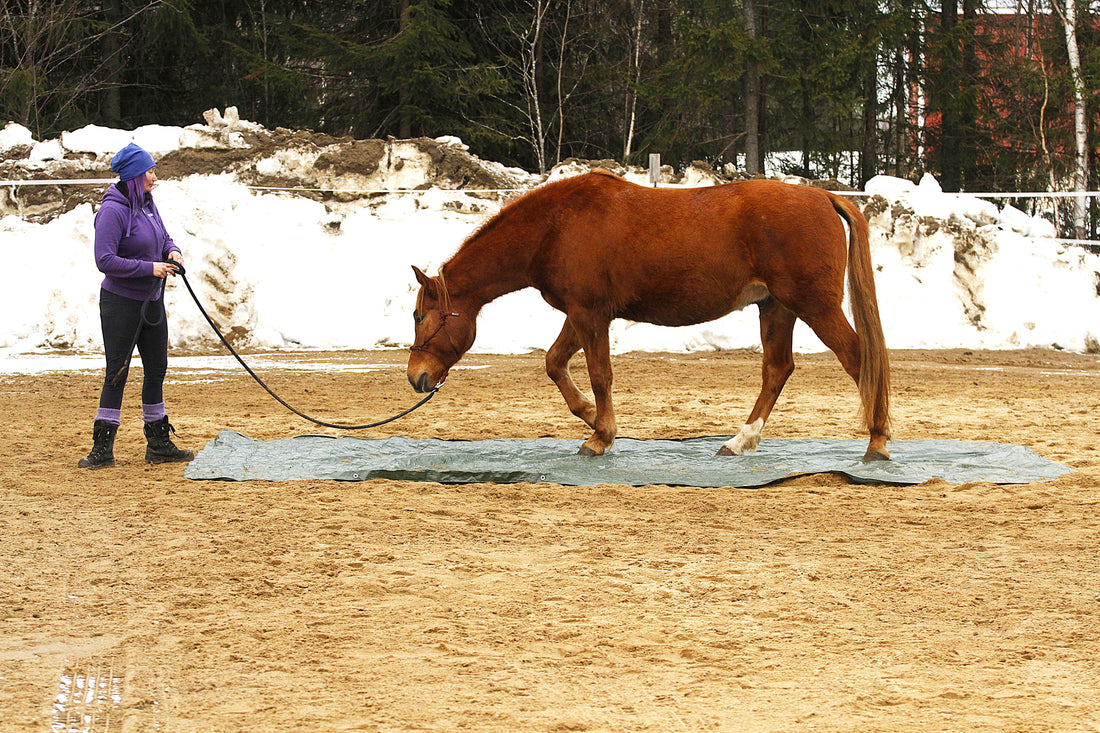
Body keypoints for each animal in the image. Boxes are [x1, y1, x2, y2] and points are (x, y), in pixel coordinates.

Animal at [409, 168, 888, 460]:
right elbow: (554, 363)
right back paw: (739, 442)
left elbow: (600, 374)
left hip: (815, 307)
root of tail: (823, 197)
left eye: (419, 316)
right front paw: (592, 418)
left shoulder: (590, 315)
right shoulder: (579, 314)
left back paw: (878, 442)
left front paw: (599, 436)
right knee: (777, 370)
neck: (555, 227)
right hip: (776, 308)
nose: (416, 377)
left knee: (859, 359)